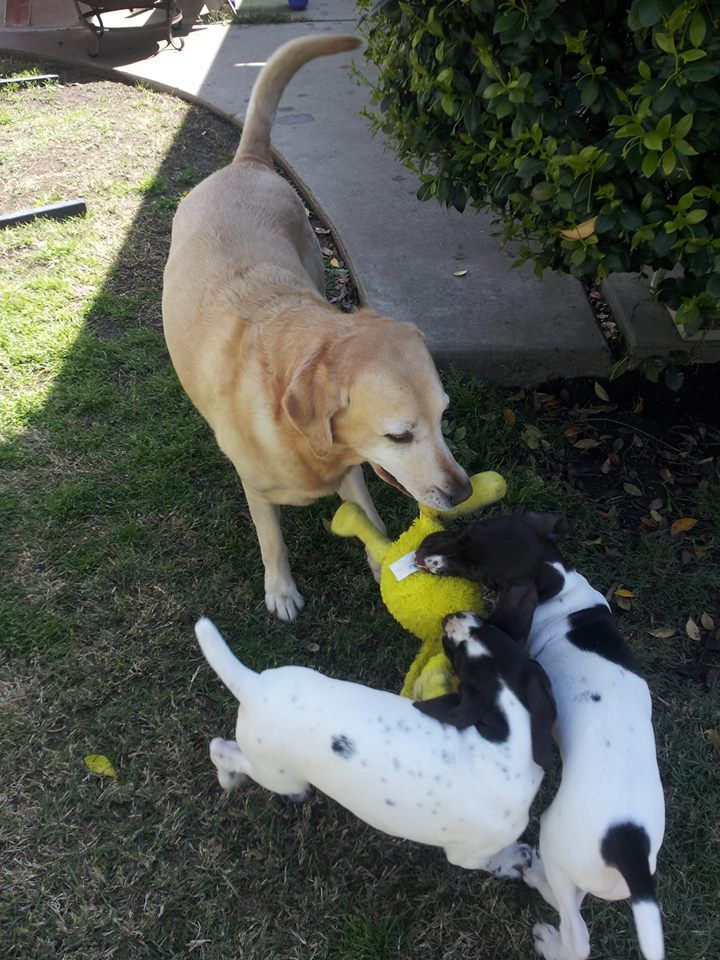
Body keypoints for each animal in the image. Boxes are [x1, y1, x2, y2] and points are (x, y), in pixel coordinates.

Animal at [162, 36, 470, 622]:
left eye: (444, 417)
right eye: (400, 435)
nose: (463, 493)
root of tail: (248, 161)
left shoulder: (353, 472)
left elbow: (369, 518)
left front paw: (382, 562)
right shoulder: (258, 491)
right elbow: (272, 540)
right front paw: (281, 591)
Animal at [196, 614, 555, 876]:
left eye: (491, 633)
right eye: (458, 652)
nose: (452, 616)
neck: (509, 735)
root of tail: (253, 686)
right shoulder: (468, 855)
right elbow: (494, 860)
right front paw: (515, 861)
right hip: (277, 772)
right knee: (221, 750)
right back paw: (231, 779)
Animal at [415, 512, 666, 960]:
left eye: (479, 571)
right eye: (469, 530)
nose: (423, 552)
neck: (558, 583)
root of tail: (629, 845)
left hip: (555, 840)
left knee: (575, 930)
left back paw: (541, 907)